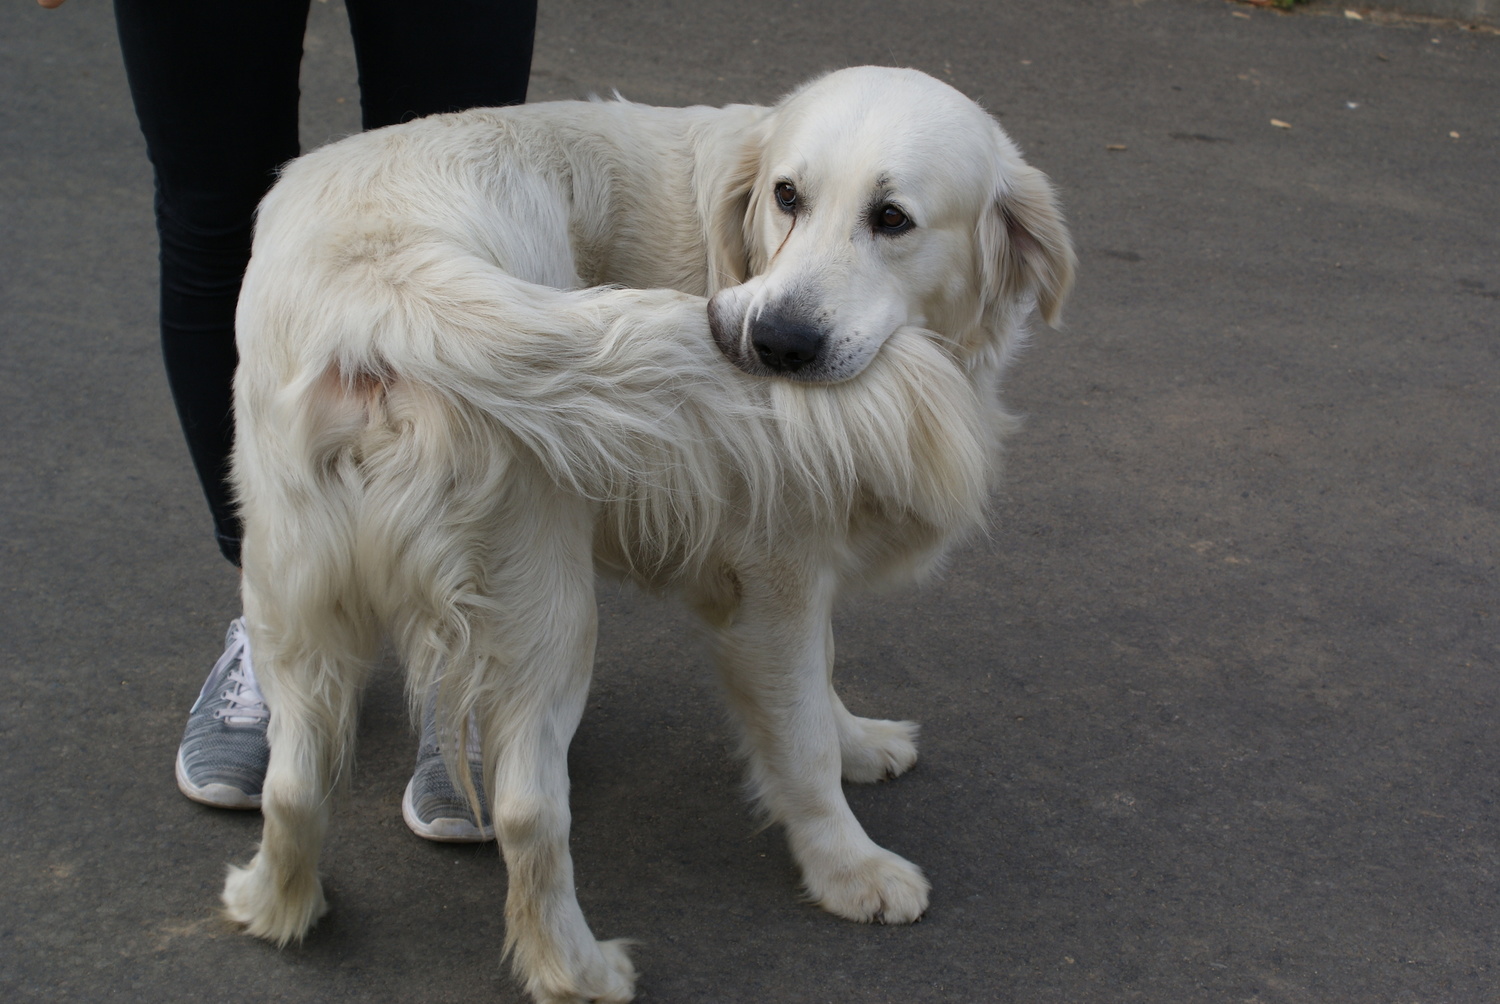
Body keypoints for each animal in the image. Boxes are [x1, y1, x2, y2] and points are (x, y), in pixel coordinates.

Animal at [218, 66, 1075, 1003]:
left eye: (892, 218)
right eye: (788, 197)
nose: (773, 342)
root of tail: (384, 281)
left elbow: (821, 680)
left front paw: (859, 745)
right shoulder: (772, 587)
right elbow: (802, 738)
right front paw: (849, 870)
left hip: (291, 597)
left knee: (293, 783)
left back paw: (274, 903)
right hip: (547, 611)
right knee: (526, 811)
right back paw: (576, 969)